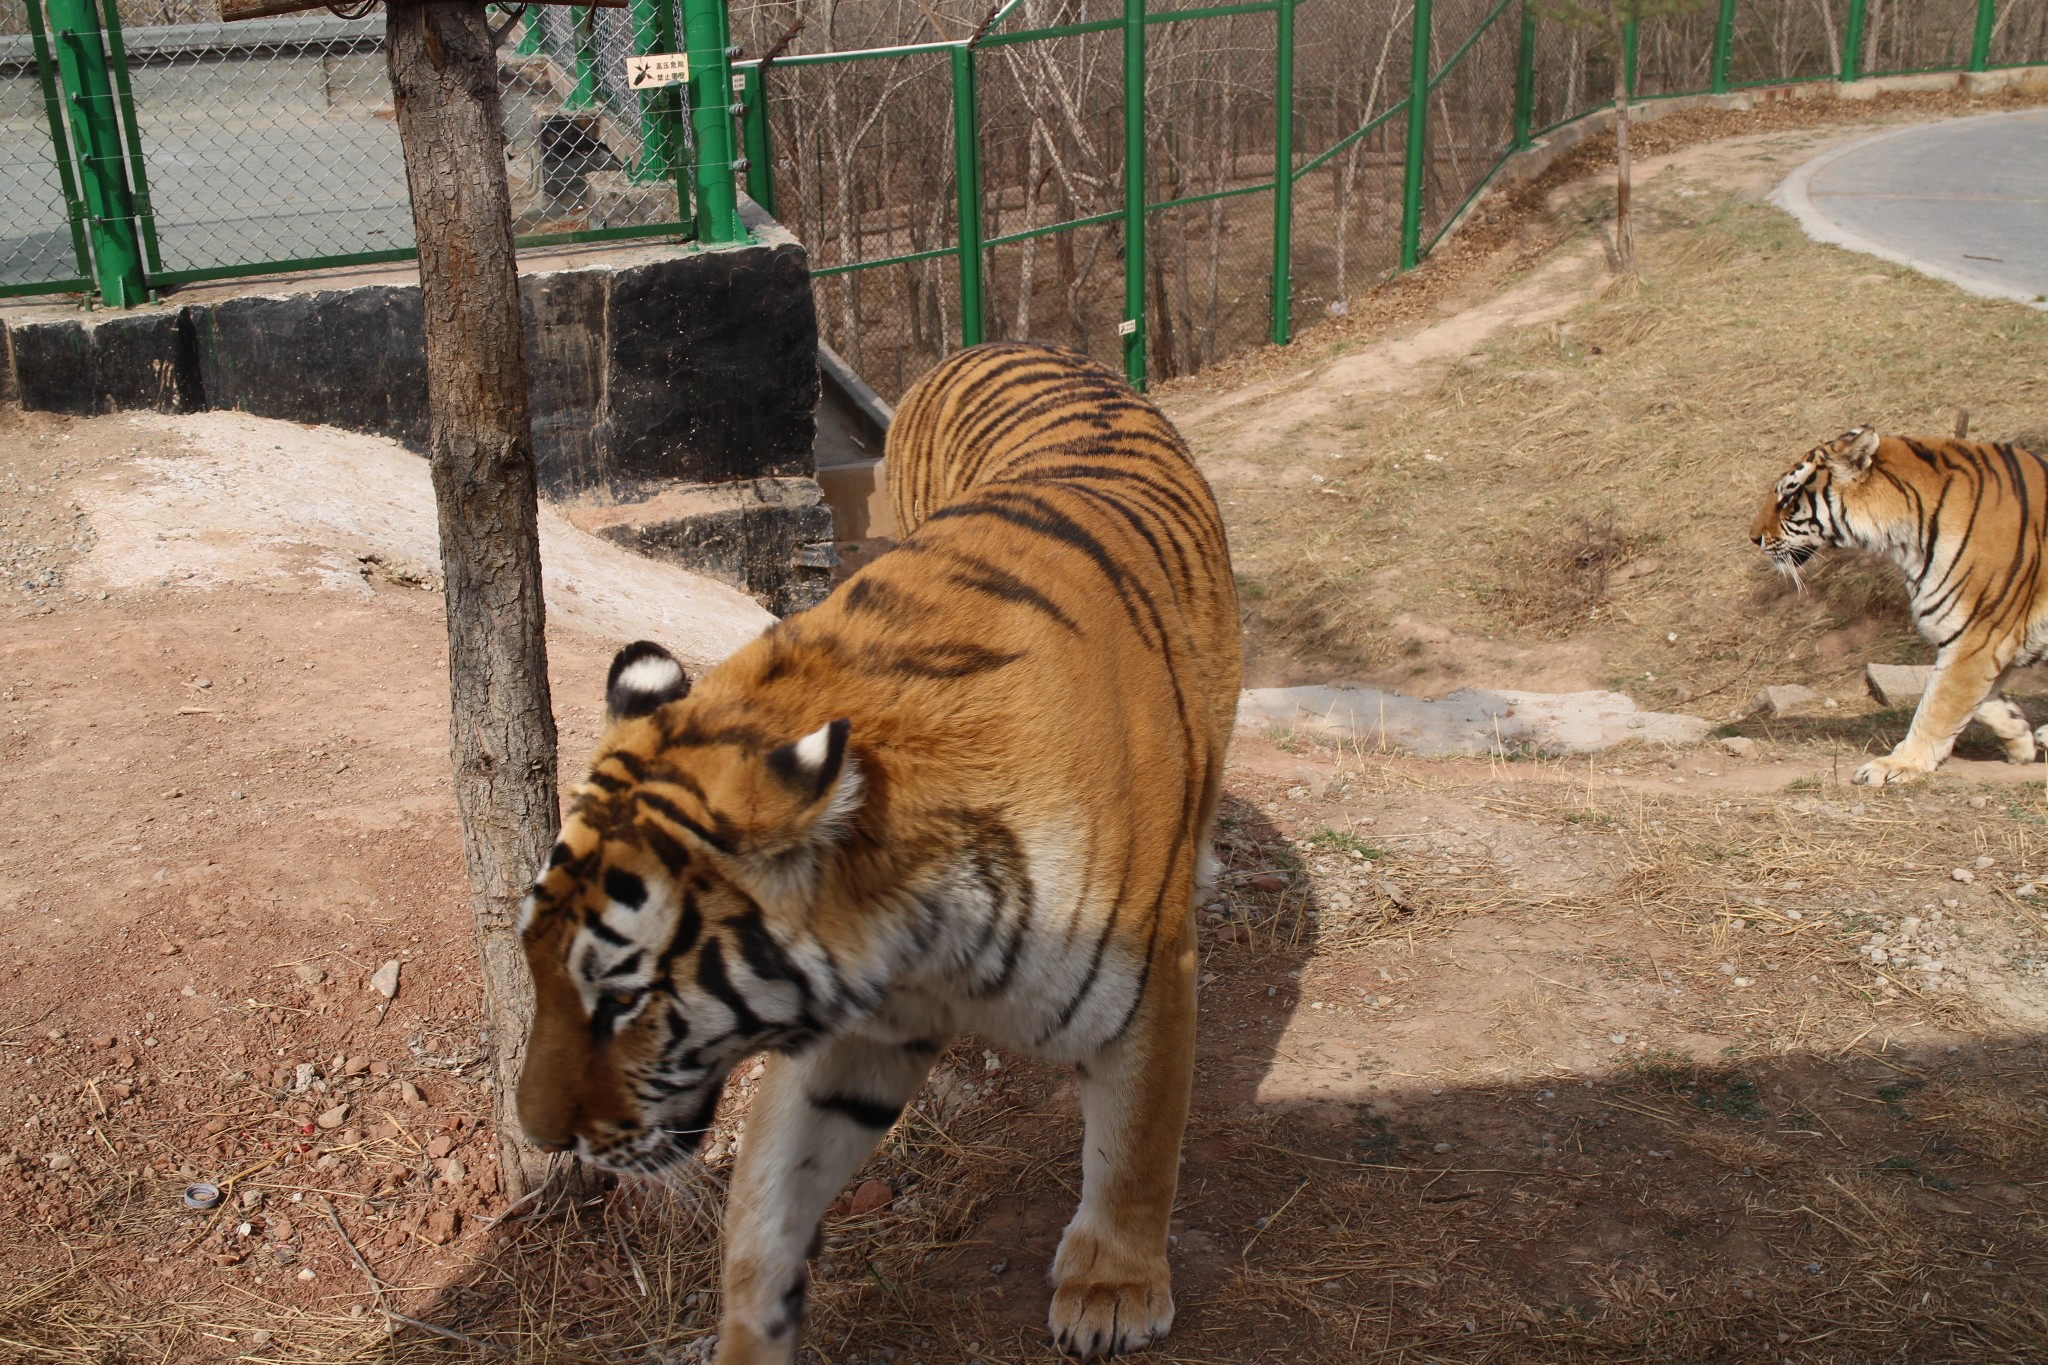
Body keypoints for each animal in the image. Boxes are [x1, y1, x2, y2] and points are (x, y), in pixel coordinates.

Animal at [520, 343, 1236, 1365]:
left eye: (621, 999)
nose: (540, 1138)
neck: (917, 921)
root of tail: (1006, 343)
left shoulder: (1145, 990)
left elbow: (1136, 1143)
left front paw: (1114, 1289)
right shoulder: (862, 1024)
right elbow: (768, 1200)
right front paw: (754, 1333)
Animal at [1744, 427, 2048, 789]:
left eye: (1788, 499)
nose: (1753, 537)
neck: (1906, 539)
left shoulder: (1979, 634)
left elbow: (1937, 706)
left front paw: (1895, 765)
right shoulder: (1979, 639)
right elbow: (1969, 695)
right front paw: (2021, 736)